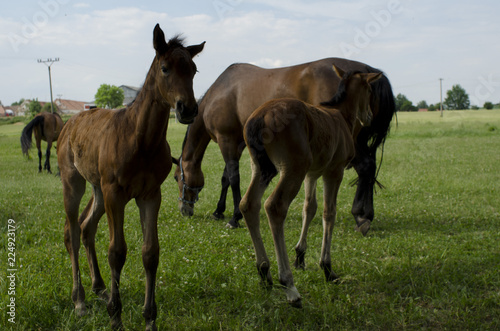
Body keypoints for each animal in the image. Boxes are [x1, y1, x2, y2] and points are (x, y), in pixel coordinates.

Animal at [58, 24, 205, 330]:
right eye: (165, 68)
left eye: (194, 69)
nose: (187, 109)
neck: (141, 141)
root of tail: (69, 123)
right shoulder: (116, 194)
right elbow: (117, 252)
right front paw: (116, 316)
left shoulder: (149, 195)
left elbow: (150, 253)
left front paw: (149, 318)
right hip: (74, 183)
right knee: (72, 232)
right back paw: (79, 301)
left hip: (98, 189)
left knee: (87, 227)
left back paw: (100, 288)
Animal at [172, 57, 394, 236]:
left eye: (176, 178)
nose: (184, 209)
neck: (220, 92)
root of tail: (366, 68)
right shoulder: (237, 144)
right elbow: (226, 178)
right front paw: (218, 211)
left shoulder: (226, 140)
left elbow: (233, 178)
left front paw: (234, 218)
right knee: (369, 168)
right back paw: (366, 215)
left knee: (365, 166)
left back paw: (360, 216)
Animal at [240, 65, 380, 308]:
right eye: (370, 91)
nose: (369, 117)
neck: (340, 116)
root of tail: (259, 117)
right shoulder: (334, 171)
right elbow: (328, 212)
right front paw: (327, 268)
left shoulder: (312, 174)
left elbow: (309, 208)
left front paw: (300, 255)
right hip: (292, 168)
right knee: (274, 207)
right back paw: (289, 285)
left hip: (262, 168)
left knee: (249, 204)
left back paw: (264, 272)